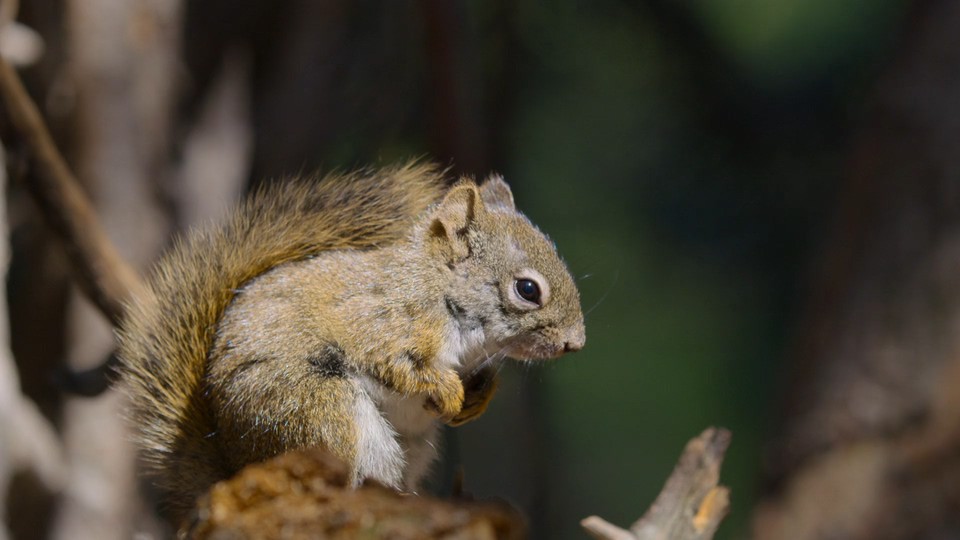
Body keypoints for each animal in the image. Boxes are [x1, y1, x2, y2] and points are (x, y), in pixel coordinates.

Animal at [116, 160, 580, 524]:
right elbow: (401, 368)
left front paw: (475, 400)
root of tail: (235, 469)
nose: (574, 344)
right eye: (527, 289)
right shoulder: (380, 325)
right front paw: (448, 392)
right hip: (320, 412)